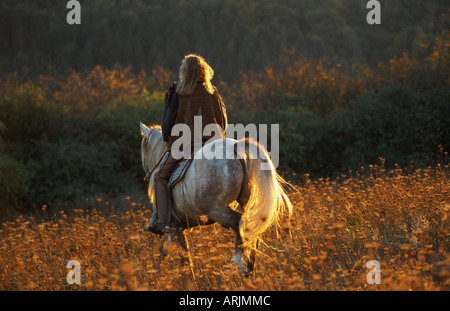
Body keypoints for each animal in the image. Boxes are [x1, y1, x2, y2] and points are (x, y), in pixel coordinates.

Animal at [141, 123, 294, 272]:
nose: (147, 174)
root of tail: (235, 147)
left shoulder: (174, 227)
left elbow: (181, 257)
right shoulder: (178, 228)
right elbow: (171, 253)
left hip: (217, 210)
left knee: (239, 223)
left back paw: (238, 263)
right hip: (246, 203)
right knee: (252, 230)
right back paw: (250, 268)